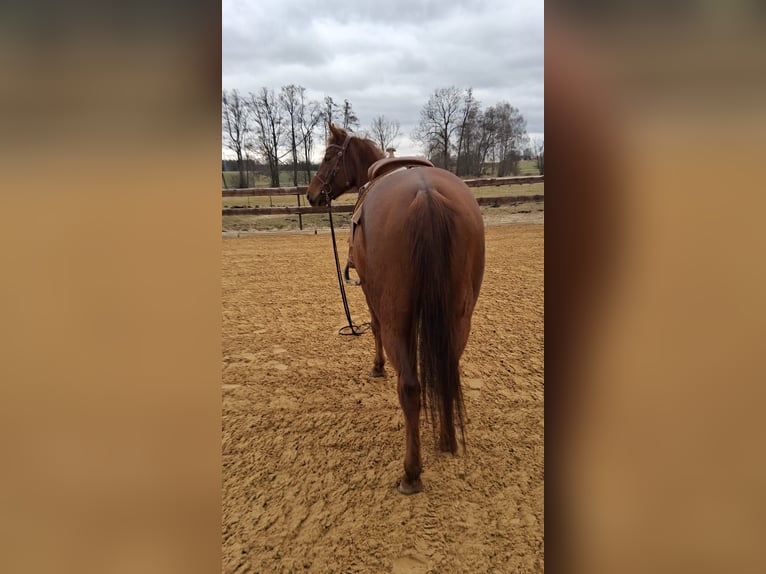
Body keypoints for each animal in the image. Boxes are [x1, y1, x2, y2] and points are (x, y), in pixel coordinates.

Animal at [306, 123, 485, 494]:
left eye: (329, 156)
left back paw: (411, 473)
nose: (312, 193)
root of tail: (427, 197)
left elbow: (374, 329)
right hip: (459, 316)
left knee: (410, 387)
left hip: (396, 317)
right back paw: (447, 441)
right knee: (447, 370)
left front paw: (377, 367)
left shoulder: (373, 297)